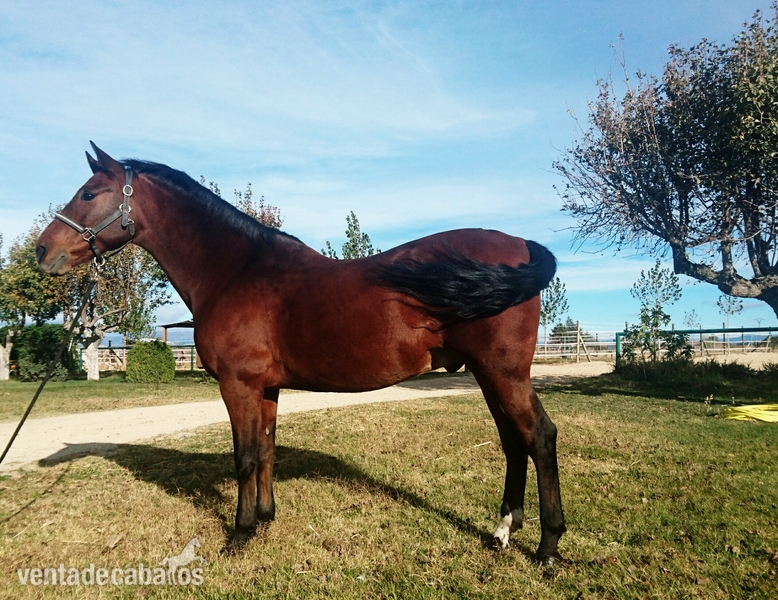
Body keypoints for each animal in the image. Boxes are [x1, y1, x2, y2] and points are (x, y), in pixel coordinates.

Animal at [35, 143, 566, 565]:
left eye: (88, 193)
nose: (42, 252)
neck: (236, 271)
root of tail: (521, 245)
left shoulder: (239, 385)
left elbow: (245, 456)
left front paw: (240, 534)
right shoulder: (267, 387)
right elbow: (267, 450)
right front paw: (266, 519)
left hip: (503, 372)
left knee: (539, 437)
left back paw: (547, 547)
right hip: (487, 373)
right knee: (513, 442)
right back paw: (502, 531)